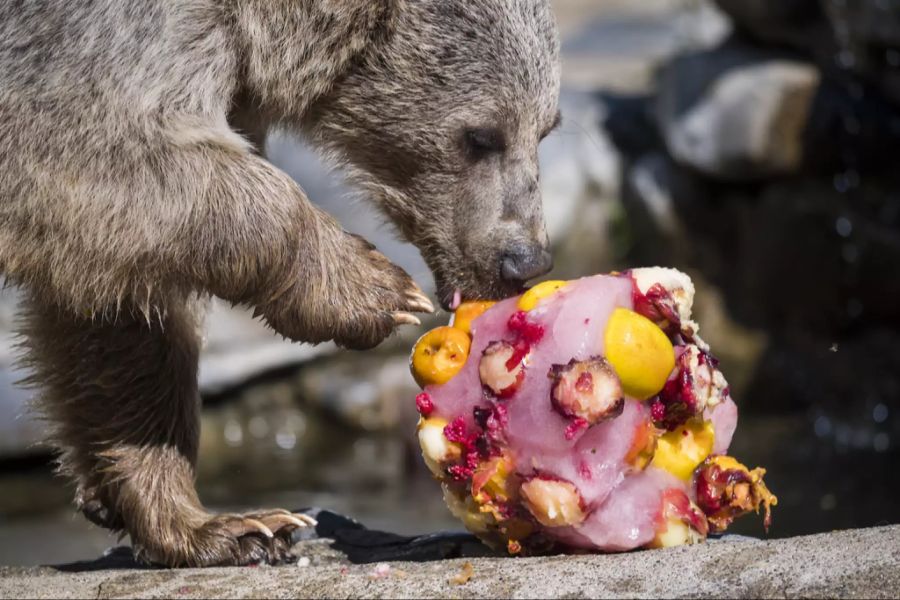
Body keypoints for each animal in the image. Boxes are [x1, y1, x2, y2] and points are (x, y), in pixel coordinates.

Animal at [0, 0, 560, 564]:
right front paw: (378, 292)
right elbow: (96, 158)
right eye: (482, 136)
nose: (523, 261)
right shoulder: (98, 47)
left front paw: (219, 526)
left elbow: (119, 312)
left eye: (545, 129)